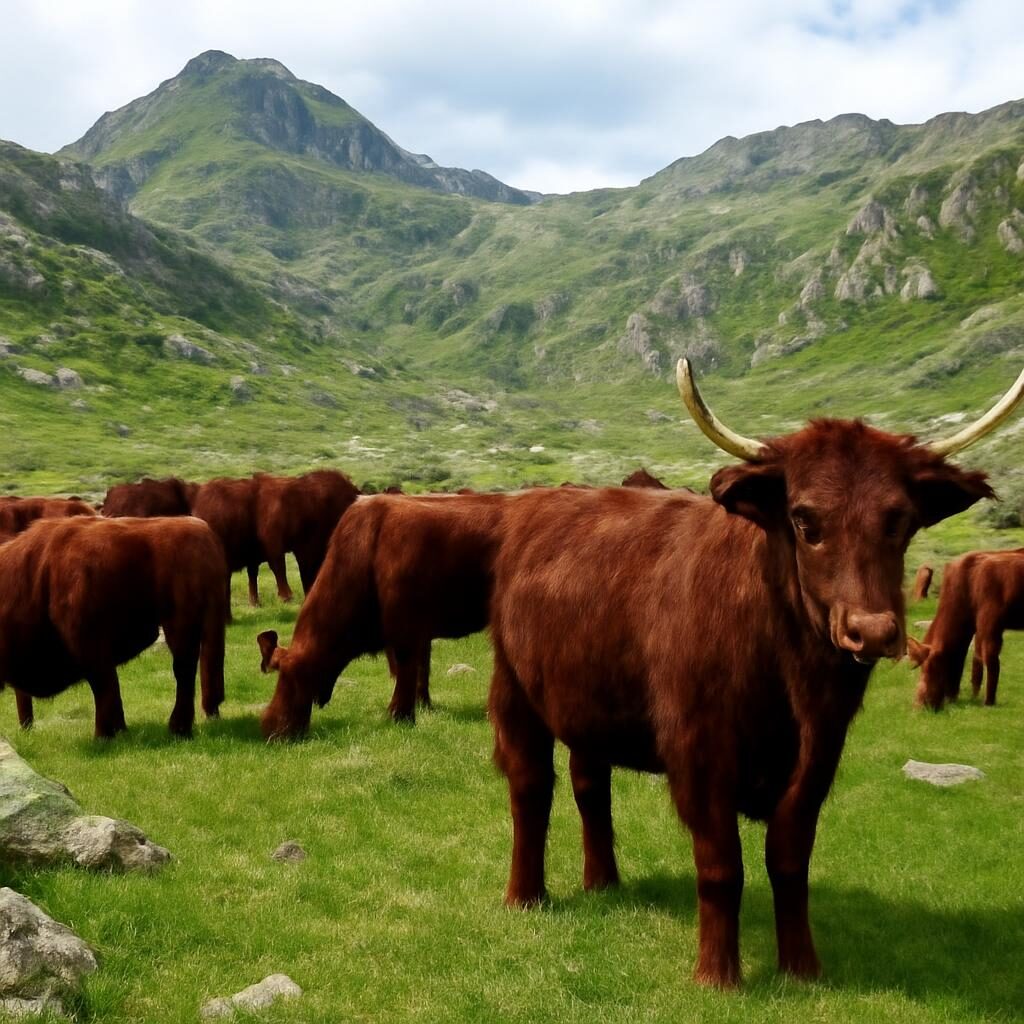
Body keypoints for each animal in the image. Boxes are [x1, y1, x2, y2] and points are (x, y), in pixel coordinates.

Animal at [0, 516, 227, 738]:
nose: (25, 727)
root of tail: (203, 531)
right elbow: (109, 687)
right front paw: (119, 730)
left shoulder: (88, 642)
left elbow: (104, 686)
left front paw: (104, 734)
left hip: (179, 627)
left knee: (183, 671)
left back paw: (178, 728)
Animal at [259, 491, 509, 734]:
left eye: (290, 676)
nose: (270, 727)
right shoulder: (419, 631)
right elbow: (421, 670)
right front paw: (422, 706)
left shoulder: (405, 627)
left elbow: (406, 669)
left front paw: (399, 715)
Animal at [907, 548, 1024, 707]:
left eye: (930, 667)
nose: (919, 705)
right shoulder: (978, 627)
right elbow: (977, 661)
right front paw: (974, 697)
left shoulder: (991, 624)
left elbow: (990, 660)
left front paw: (989, 702)